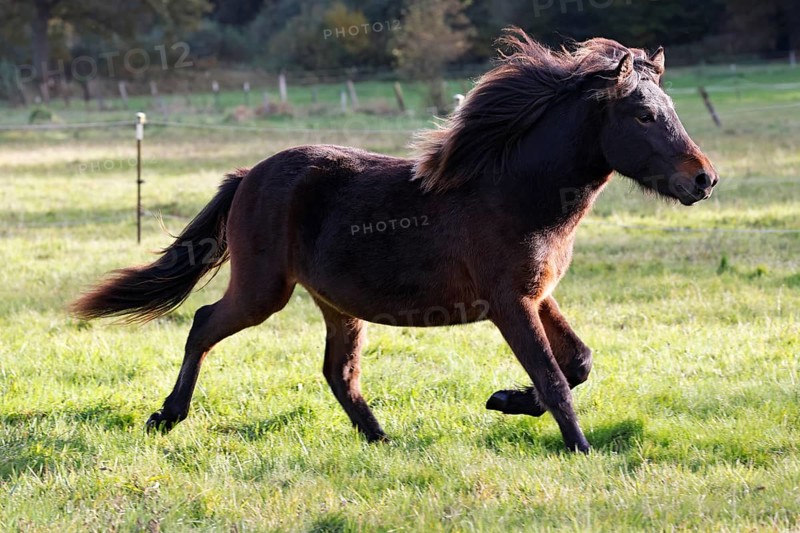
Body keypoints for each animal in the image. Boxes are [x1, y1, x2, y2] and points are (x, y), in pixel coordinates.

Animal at [71, 28, 718, 453]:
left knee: (338, 372)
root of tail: (249, 174)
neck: (517, 192)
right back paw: (166, 417)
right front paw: (579, 448)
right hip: (263, 291)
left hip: (335, 302)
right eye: (641, 115)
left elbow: (578, 362)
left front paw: (503, 401)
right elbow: (554, 377)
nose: (704, 179)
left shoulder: (538, 295)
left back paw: (381, 440)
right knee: (205, 323)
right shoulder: (509, 304)